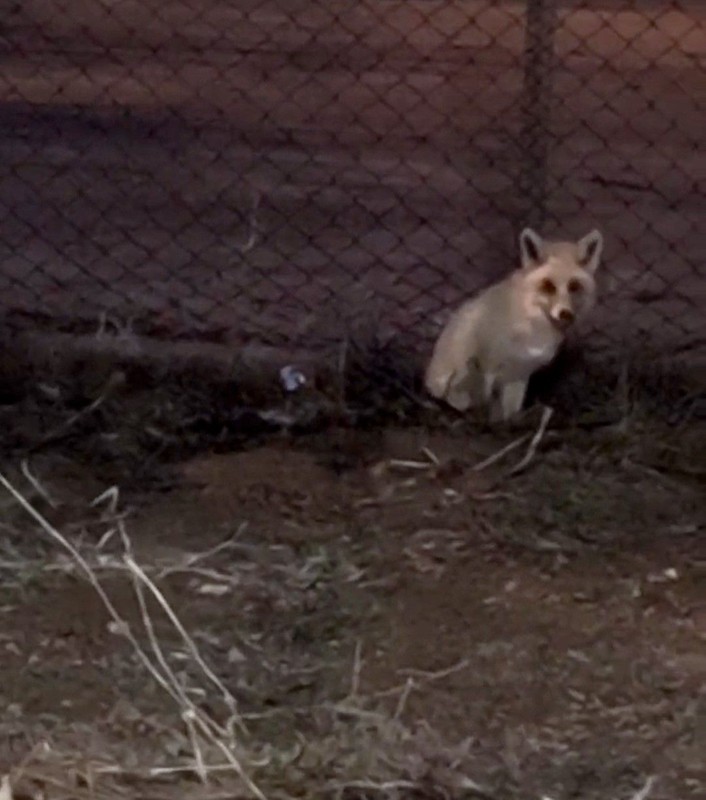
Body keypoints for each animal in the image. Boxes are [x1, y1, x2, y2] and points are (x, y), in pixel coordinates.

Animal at [420, 227, 604, 422]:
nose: (565, 313)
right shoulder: (489, 365)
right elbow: (485, 407)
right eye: (548, 286)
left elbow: (510, 414)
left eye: (574, 286)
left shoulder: (519, 375)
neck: (531, 326)